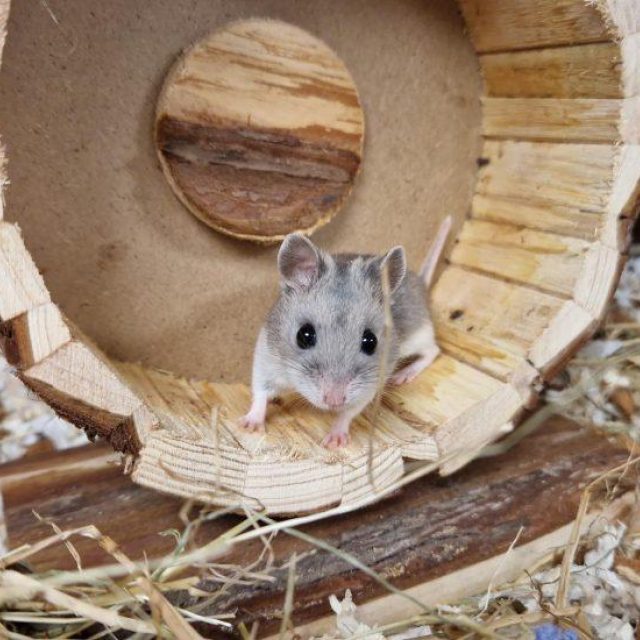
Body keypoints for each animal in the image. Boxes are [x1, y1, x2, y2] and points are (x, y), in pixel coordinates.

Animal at [240, 217, 452, 449]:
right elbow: (260, 393)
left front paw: (334, 441)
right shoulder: (266, 359)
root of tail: (421, 283)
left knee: (433, 351)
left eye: (370, 341)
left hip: (420, 334)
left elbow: (347, 413)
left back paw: (403, 375)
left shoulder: (368, 388)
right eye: (304, 336)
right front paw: (249, 426)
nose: (334, 401)